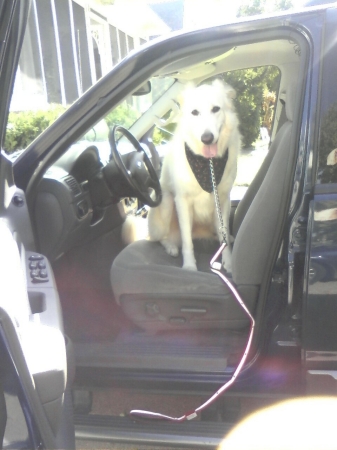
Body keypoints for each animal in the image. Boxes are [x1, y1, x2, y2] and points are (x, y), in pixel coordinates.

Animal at [147, 79, 239, 272]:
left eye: (216, 109)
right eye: (195, 112)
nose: (207, 138)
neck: (207, 164)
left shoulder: (224, 200)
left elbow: (224, 235)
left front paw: (228, 262)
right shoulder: (182, 201)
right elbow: (187, 240)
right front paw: (189, 266)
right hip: (167, 203)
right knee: (162, 238)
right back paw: (171, 247)